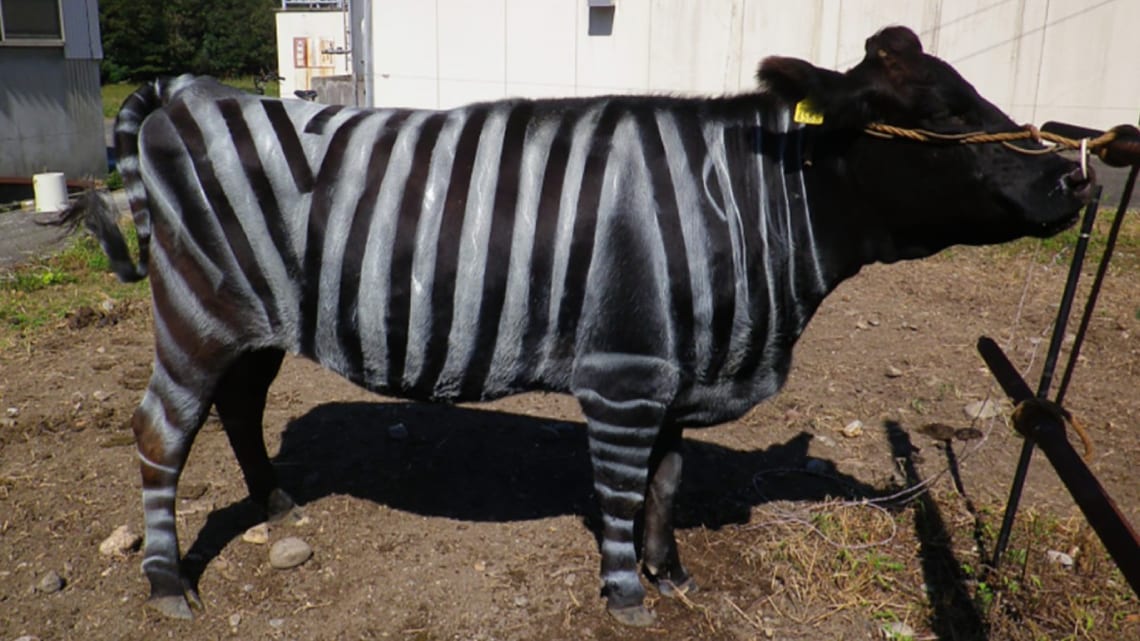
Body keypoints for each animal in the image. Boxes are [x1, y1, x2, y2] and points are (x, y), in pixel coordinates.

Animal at [56, 27, 1089, 626]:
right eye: (934, 115)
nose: (1072, 177)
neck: (743, 209)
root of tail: (191, 91)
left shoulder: (678, 368)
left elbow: (668, 481)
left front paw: (673, 576)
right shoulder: (626, 374)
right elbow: (625, 491)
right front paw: (628, 594)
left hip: (257, 320)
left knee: (236, 408)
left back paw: (275, 505)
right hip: (196, 312)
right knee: (162, 431)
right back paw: (168, 584)